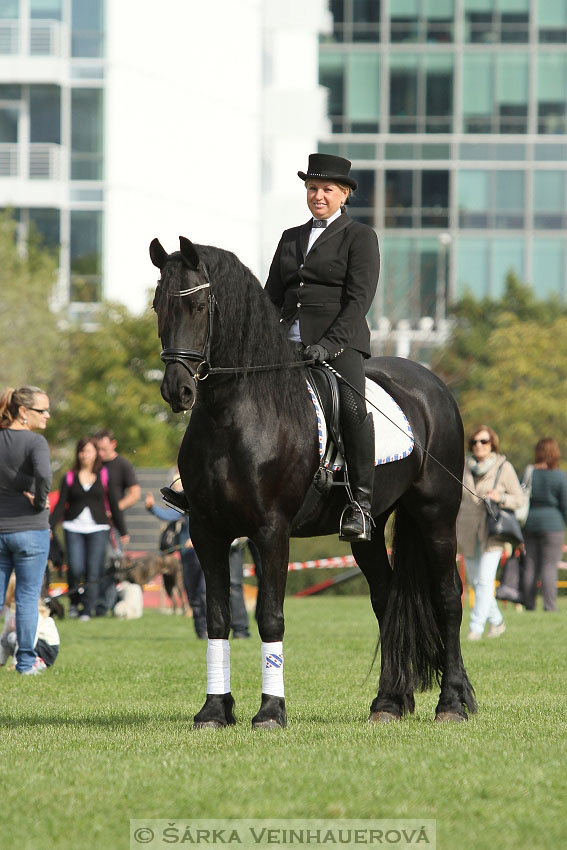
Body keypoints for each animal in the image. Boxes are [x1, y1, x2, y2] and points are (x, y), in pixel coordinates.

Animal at [150, 235, 474, 724]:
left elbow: (270, 617)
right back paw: (389, 701)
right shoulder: (206, 531)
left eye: (199, 306)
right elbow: (217, 618)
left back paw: (452, 701)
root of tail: (431, 383)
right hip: (371, 529)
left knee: (448, 598)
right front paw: (214, 710)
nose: (178, 390)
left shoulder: (270, 531)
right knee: (385, 599)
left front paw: (270, 712)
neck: (235, 415)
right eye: (158, 306)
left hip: (436, 514)